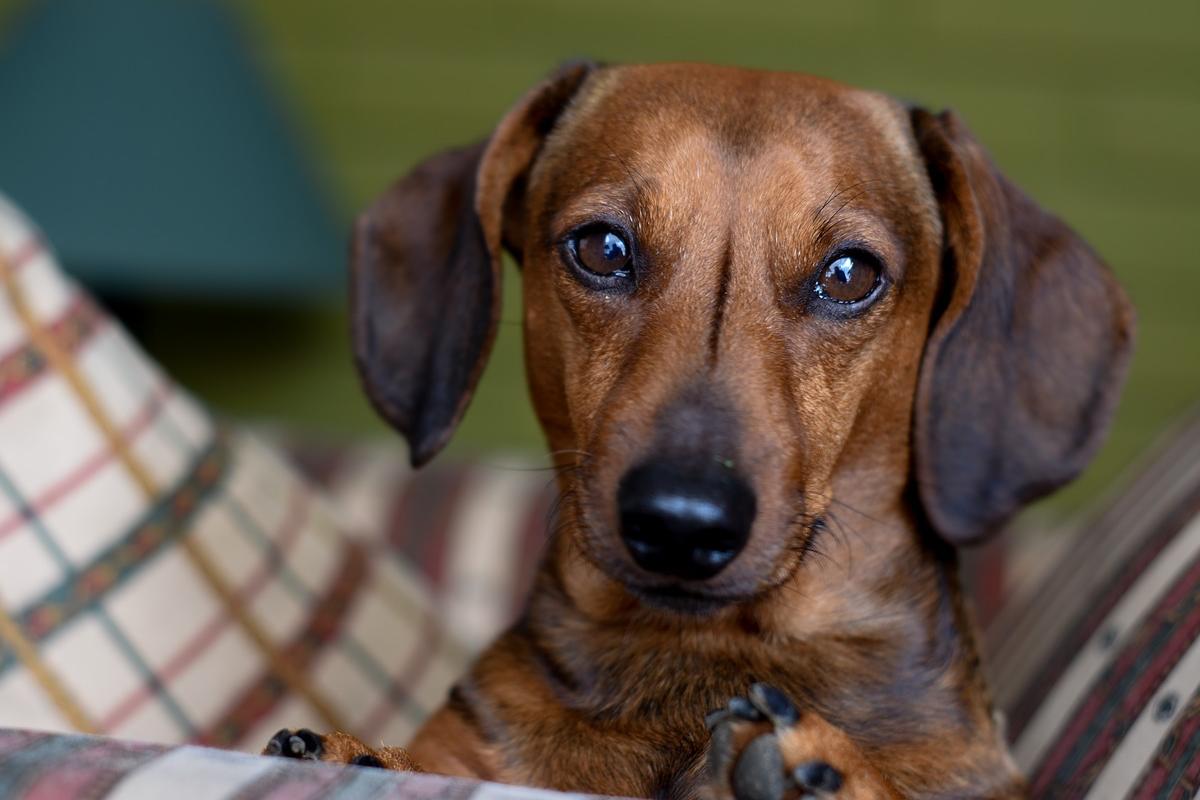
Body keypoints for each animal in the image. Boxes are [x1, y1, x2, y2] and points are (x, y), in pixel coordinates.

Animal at [265, 64, 1132, 800]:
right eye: (601, 247)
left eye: (850, 273)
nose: (682, 523)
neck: (705, 656)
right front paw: (359, 753)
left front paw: (831, 770)